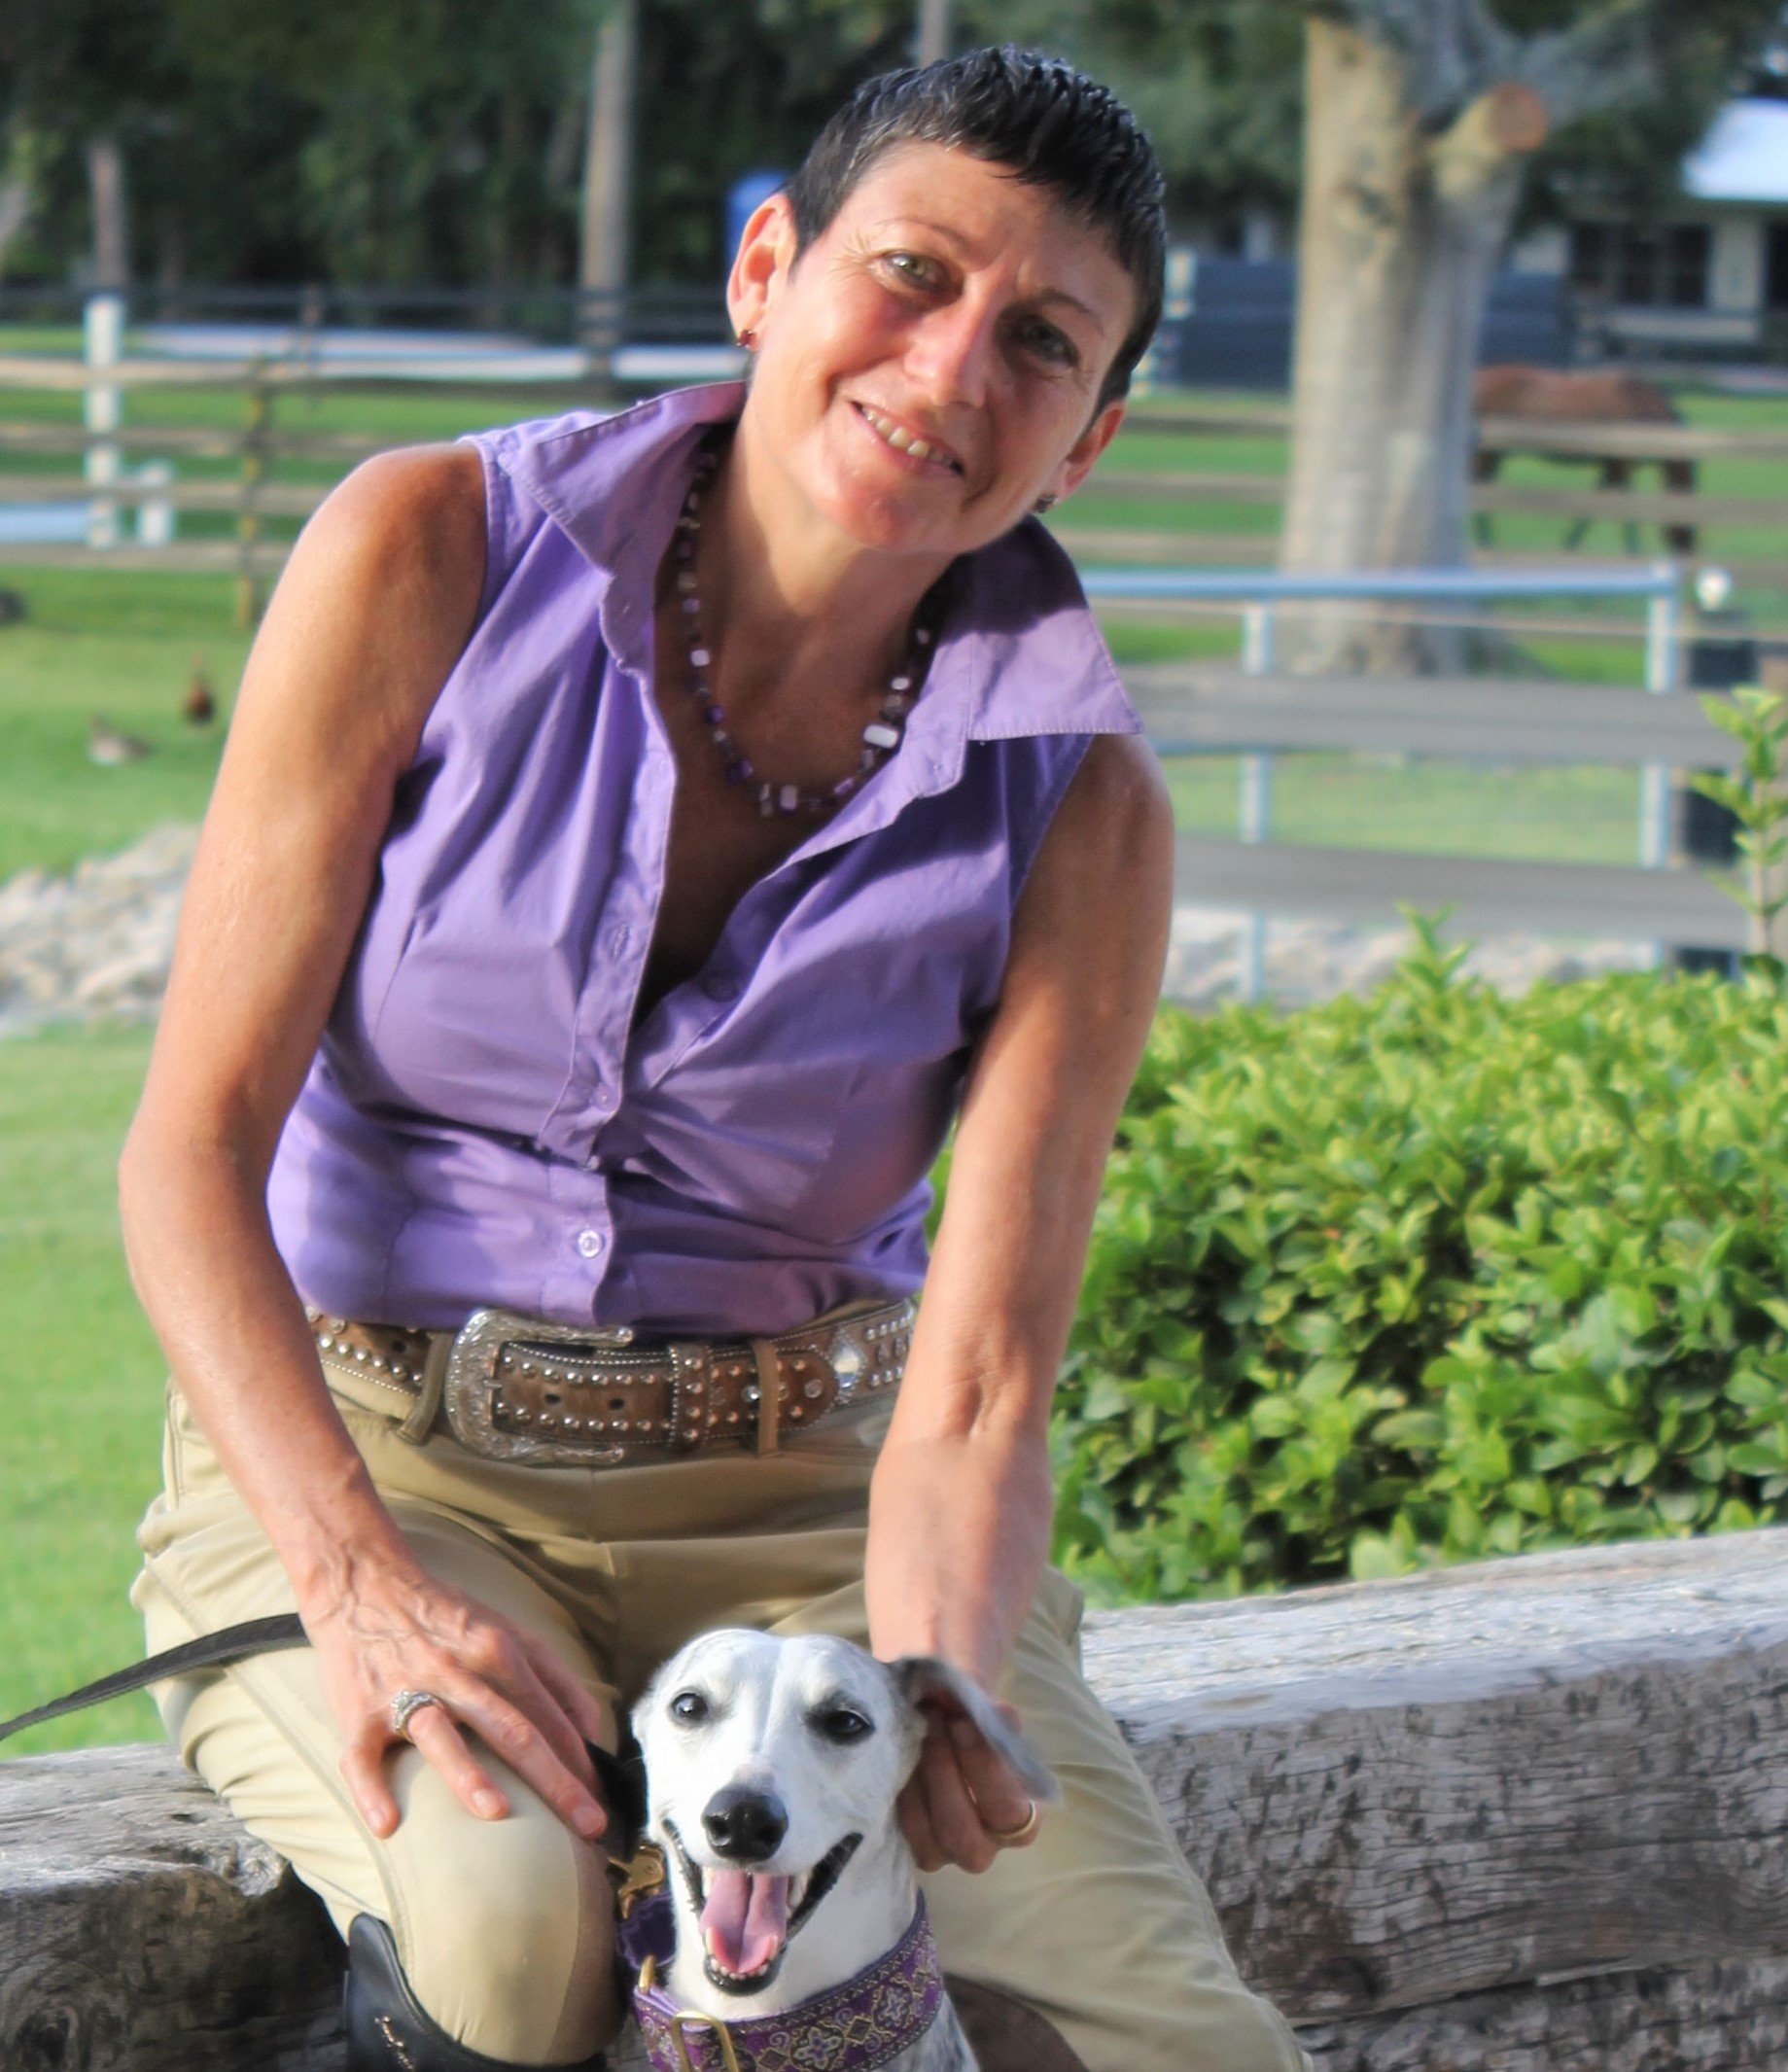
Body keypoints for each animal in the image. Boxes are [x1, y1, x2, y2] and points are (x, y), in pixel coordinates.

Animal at [1475, 367, 1699, 555]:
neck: (1638, 404)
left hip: (1493, 457)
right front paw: (1633, 553)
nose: (1687, 548)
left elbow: (1592, 510)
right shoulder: (1622, 467)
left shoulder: (1612, 469)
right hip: (1485, 456)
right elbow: (1627, 514)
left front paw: (1567, 546)